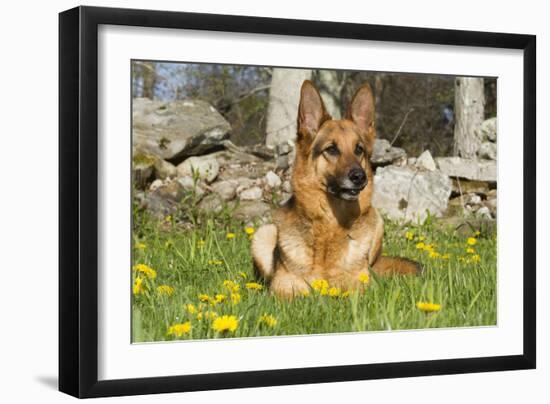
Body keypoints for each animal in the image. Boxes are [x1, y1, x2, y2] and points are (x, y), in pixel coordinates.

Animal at [252, 80, 420, 298]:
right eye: (331, 149)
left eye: (359, 149)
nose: (359, 177)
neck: (330, 223)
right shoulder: (282, 287)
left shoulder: (361, 286)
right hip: (263, 234)